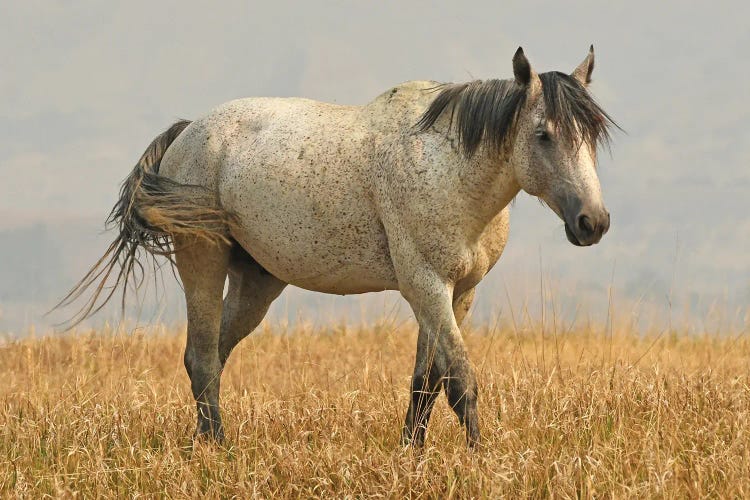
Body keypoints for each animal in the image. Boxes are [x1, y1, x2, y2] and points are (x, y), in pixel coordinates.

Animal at [60, 46, 616, 446]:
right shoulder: (426, 286)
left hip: (256, 282)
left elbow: (426, 383)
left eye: (592, 135)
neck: (449, 165)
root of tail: (187, 132)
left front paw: (411, 454)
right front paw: (479, 458)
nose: (593, 222)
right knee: (200, 358)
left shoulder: (458, 292)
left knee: (212, 357)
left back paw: (205, 443)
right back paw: (220, 449)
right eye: (543, 134)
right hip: (203, 263)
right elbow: (461, 381)